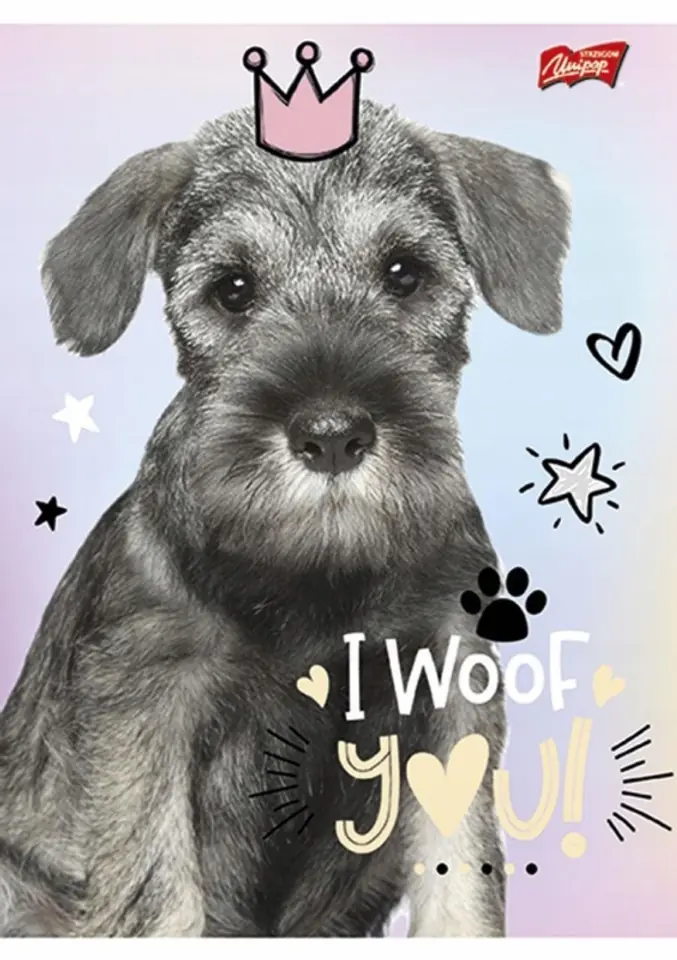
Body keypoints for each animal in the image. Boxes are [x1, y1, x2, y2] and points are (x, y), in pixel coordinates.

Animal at [0, 99, 570, 937]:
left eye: (404, 272)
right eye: (233, 289)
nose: (331, 434)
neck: (316, 573)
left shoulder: (449, 687)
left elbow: (461, 875)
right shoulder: (145, 711)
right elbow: (157, 892)